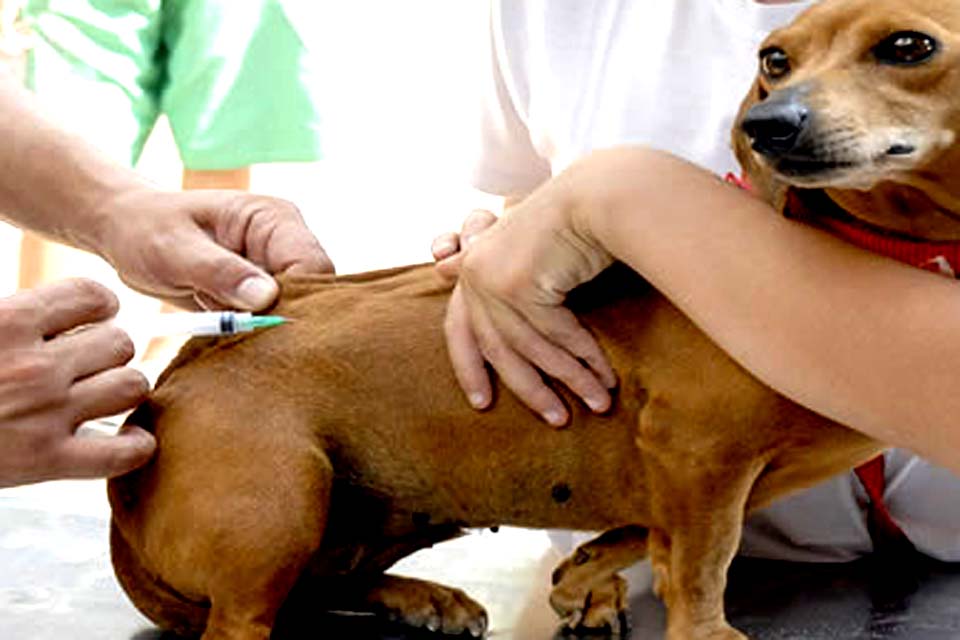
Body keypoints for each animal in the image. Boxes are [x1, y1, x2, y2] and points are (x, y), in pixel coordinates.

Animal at [105, 1, 960, 640]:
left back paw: (424, 597)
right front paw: (703, 629)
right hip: (284, 500)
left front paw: (583, 580)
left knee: (322, 585)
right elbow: (701, 560)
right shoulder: (698, 455)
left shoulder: (700, 478)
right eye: (774, 60)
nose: (769, 125)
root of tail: (167, 388)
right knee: (254, 617)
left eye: (908, 45)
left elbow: (646, 535)